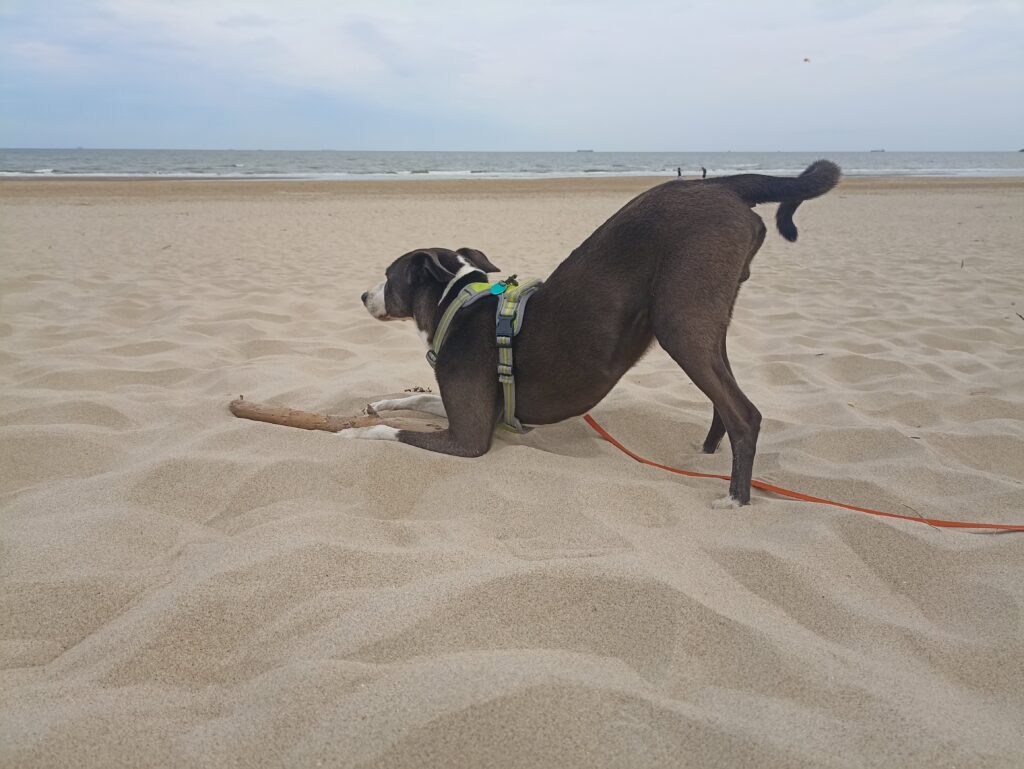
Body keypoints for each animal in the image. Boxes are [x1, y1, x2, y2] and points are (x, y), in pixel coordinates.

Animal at [352, 161, 839, 505]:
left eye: (388, 276)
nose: (362, 295)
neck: (457, 305)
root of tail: (719, 185)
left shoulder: (468, 438)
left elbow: (393, 433)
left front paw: (354, 434)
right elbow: (416, 401)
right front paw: (380, 404)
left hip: (679, 323)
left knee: (745, 414)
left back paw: (735, 498)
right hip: (707, 321)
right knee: (725, 398)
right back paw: (706, 454)